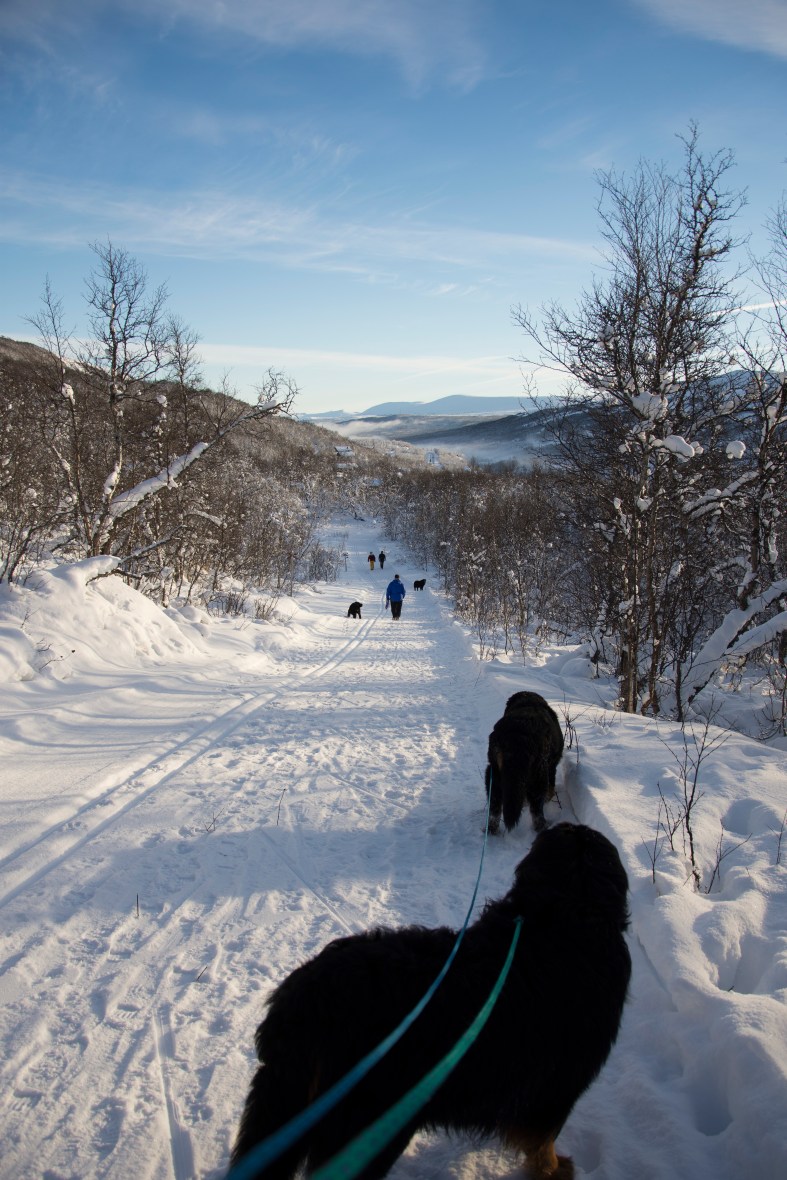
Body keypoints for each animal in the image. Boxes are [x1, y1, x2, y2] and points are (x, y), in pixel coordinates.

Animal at [230, 823, 631, 1179]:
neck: (563, 912)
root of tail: (304, 1003)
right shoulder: (559, 1084)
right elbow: (543, 1139)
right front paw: (553, 1169)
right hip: (366, 1122)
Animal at [485, 692, 564, 835]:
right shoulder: (551, 767)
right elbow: (550, 788)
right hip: (539, 774)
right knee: (537, 810)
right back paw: (543, 828)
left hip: (493, 771)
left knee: (494, 805)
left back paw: (491, 829)